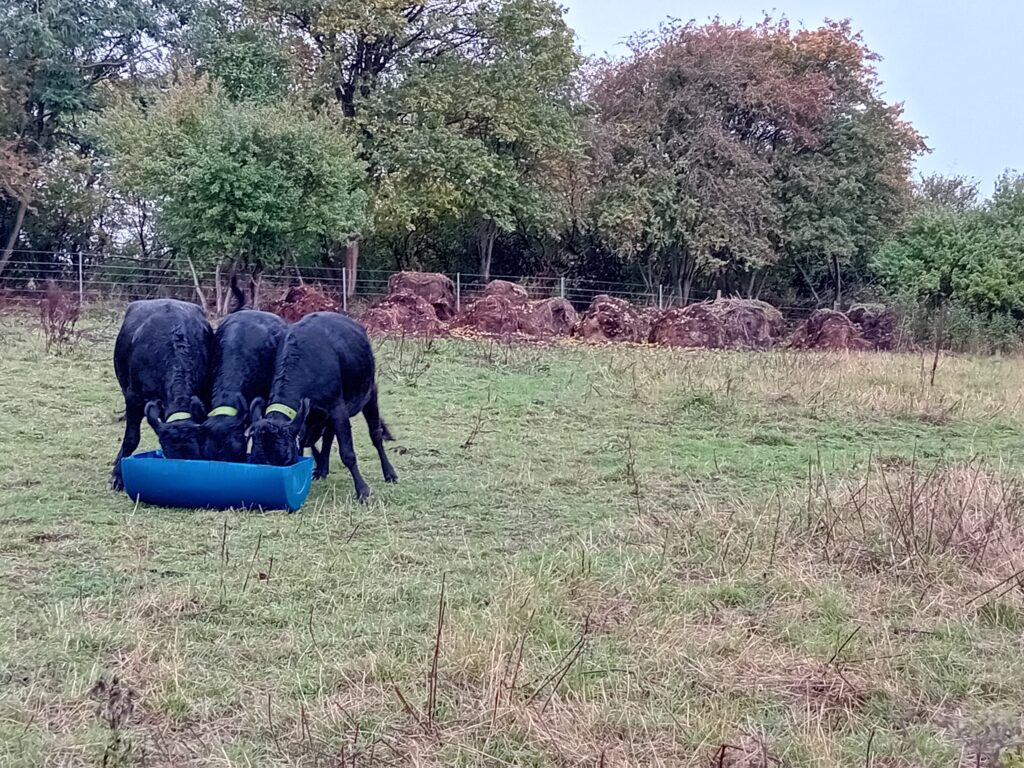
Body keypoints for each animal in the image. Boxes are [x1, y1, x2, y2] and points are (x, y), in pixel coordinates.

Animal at [247, 311, 397, 500]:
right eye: (255, 459)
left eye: (286, 459)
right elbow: (305, 446)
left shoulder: (338, 409)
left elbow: (347, 453)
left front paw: (363, 490)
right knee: (328, 435)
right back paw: (322, 469)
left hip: (370, 393)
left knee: (375, 434)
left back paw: (389, 473)